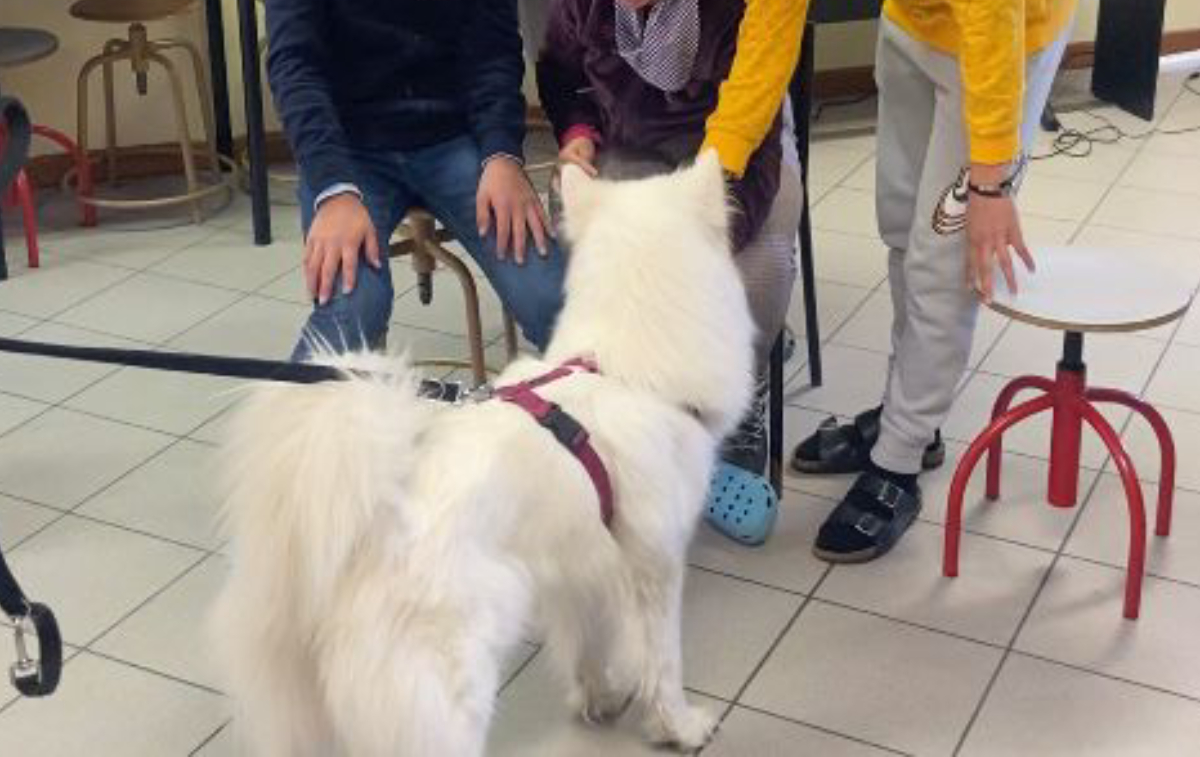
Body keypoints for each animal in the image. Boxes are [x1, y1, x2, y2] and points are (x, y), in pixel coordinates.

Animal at [206, 153, 748, 757]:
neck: (622, 368)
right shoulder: (655, 566)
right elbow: (661, 663)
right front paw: (680, 726)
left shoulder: (577, 568)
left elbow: (587, 645)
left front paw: (600, 700)